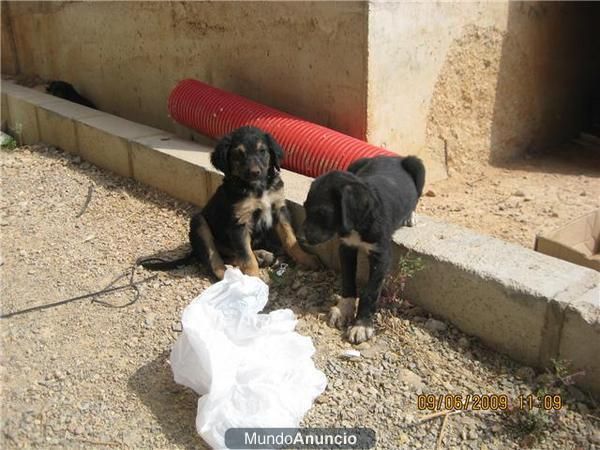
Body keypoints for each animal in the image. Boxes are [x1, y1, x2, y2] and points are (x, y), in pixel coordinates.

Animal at [141, 125, 322, 278]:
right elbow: (246, 256)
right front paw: (253, 279)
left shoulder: (279, 208)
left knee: (231, 255)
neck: (257, 188)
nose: (255, 172)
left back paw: (262, 255)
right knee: (215, 259)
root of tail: (193, 252)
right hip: (199, 223)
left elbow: (290, 239)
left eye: (262, 151)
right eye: (239, 154)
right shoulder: (238, 221)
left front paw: (307, 258)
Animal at [302, 156, 424, 342]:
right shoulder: (346, 248)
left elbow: (370, 292)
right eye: (305, 207)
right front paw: (344, 309)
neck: (357, 224)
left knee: (416, 197)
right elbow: (347, 280)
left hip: (417, 166)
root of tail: (392, 157)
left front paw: (362, 325)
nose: (300, 238)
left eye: (323, 213)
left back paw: (410, 216)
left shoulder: (381, 255)